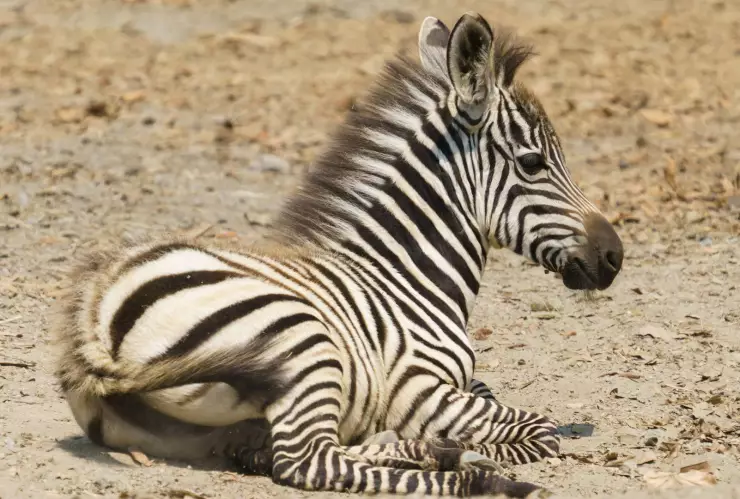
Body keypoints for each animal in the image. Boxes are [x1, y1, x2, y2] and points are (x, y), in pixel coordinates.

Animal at [53, 12, 623, 498]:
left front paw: (437, 444)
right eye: (532, 163)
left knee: (285, 451)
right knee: (310, 462)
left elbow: (490, 397)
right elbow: (540, 430)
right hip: (303, 340)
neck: (405, 275)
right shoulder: (419, 389)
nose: (614, 255)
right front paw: (467, 450)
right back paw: (474, 475)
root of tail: (96, 328)